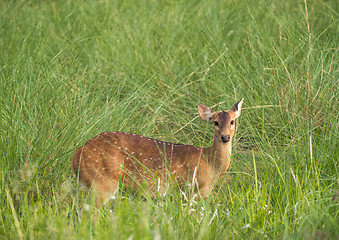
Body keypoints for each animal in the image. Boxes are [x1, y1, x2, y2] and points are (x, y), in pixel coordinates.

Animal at [71, 98, 243, 203]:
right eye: (215, 122)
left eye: (232, 121)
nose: (225, 137)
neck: (211, 164)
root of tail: (78, 153)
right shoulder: (188, 189)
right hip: (103, 180)